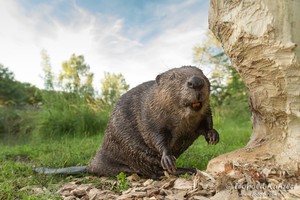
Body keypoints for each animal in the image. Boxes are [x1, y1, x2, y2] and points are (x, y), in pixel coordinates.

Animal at [35, 66, 218, 179]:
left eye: (201, 71)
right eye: (173, 77)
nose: (196, 81)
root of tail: (91, 166)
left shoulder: (203, 114)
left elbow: (207, 121)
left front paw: (213, 136)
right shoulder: (148, 113)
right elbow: (156, 136)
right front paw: (168, 158)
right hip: (137, 154)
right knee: (156, 172)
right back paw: (187, 169)